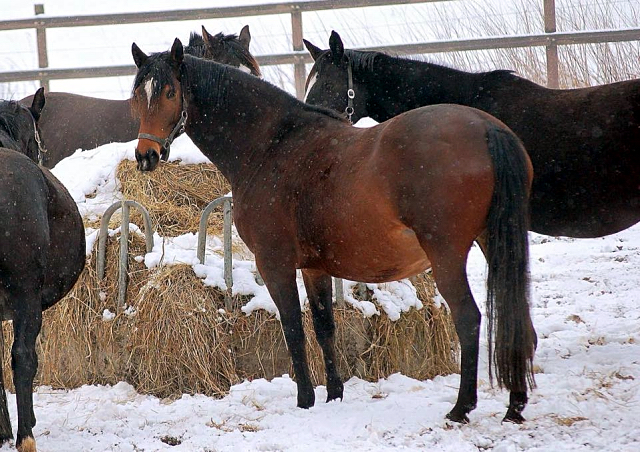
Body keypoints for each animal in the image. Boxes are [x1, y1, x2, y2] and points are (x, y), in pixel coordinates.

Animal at [130, 38, 536, 424]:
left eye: (170, 92)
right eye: (138, 95)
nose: (146, 155)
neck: (271, 145)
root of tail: (488, 129)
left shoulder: (274, 263)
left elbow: (294, 328)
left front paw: (305, 399)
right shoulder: (315, 268)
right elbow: (324, 326)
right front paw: (334, 395)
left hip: (447, 255)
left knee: (469, 318)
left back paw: (461, 407)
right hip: (494, 244)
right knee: (516, 317)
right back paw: (515, 405)